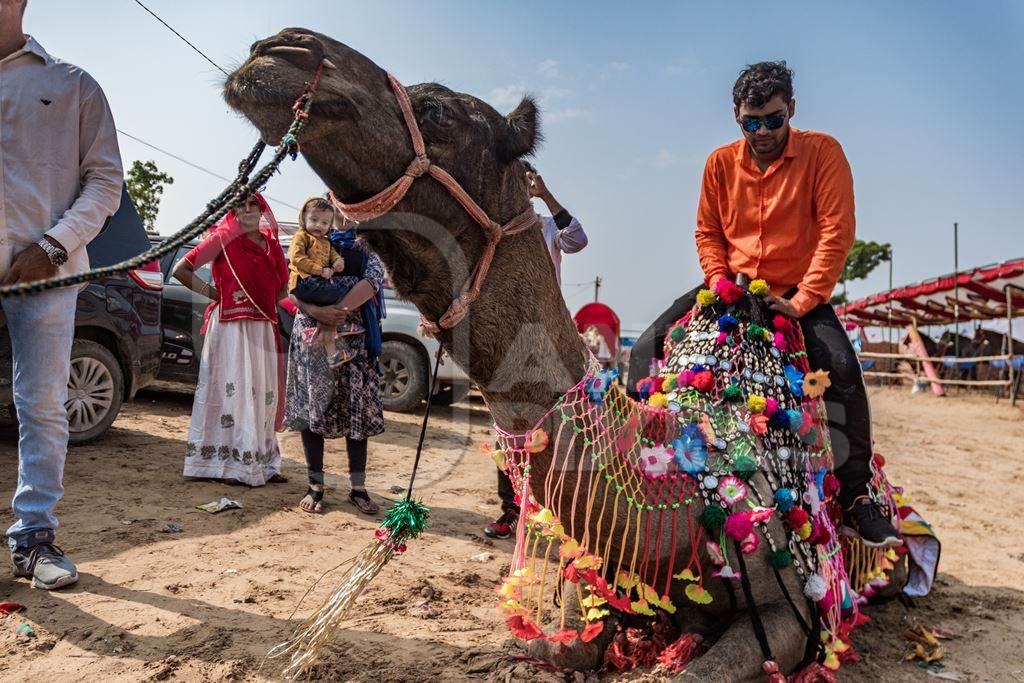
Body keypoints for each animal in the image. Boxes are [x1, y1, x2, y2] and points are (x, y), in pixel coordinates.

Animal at [222, 29, 823, 679]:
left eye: (437, 109)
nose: (278, 49)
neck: (687, 503)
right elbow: (563, 641)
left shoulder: (787, 611)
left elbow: (702, 668)